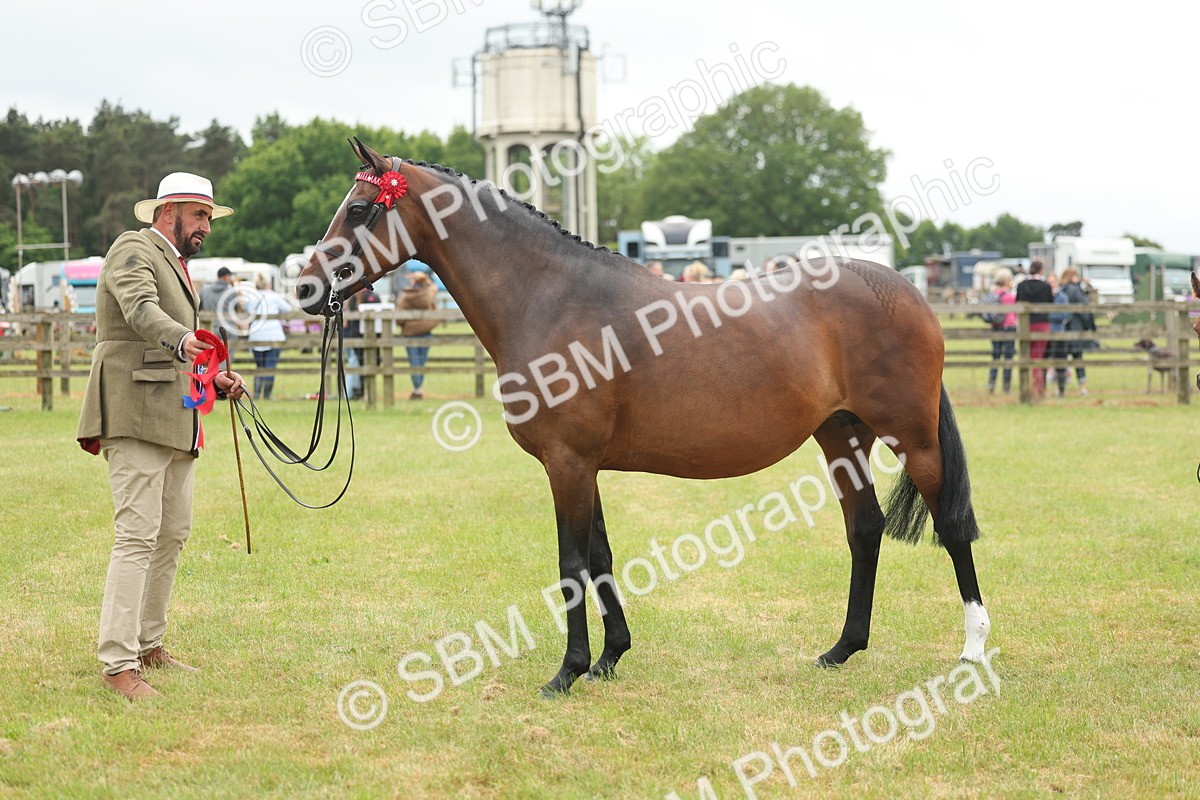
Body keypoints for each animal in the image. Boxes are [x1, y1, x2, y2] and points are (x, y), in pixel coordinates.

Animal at [296, 138, 992, 697]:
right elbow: (600, 555)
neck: (550, 298)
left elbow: (570, 562)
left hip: (913, 439)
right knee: (865, 529)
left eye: (358, 208)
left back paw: (973, 650)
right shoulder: (584, 466)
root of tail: (909, 292)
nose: (304, 288)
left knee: (952, 528)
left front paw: (567, 672)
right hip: (841, 436)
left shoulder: (567, 464)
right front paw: (609, 659)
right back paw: (842, 649)